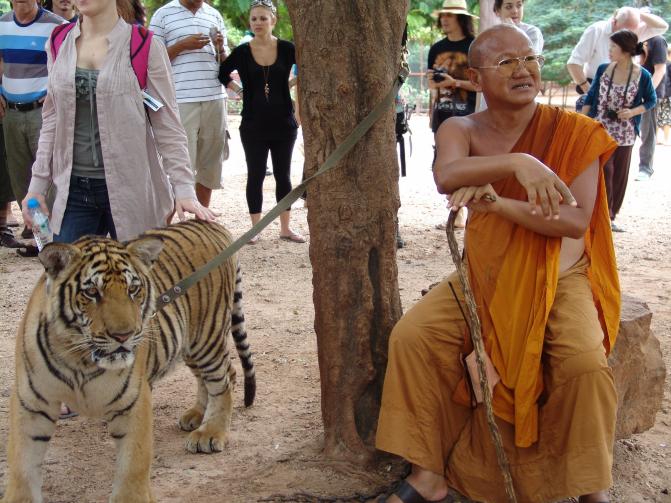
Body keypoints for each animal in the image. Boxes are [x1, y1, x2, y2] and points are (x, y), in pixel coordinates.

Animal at [3, 220, 255, 503]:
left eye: (133, 289)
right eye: (92, 292)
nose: (124, 335)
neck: (79, 358)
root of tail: (211, 223)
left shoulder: (133, 400)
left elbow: (133, 464)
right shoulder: (32, 403)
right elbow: (22, 467)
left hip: (206, 337)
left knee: (223, 380)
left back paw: (210, 432)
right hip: (189, 344)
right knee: (213, 377)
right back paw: (196, 415)